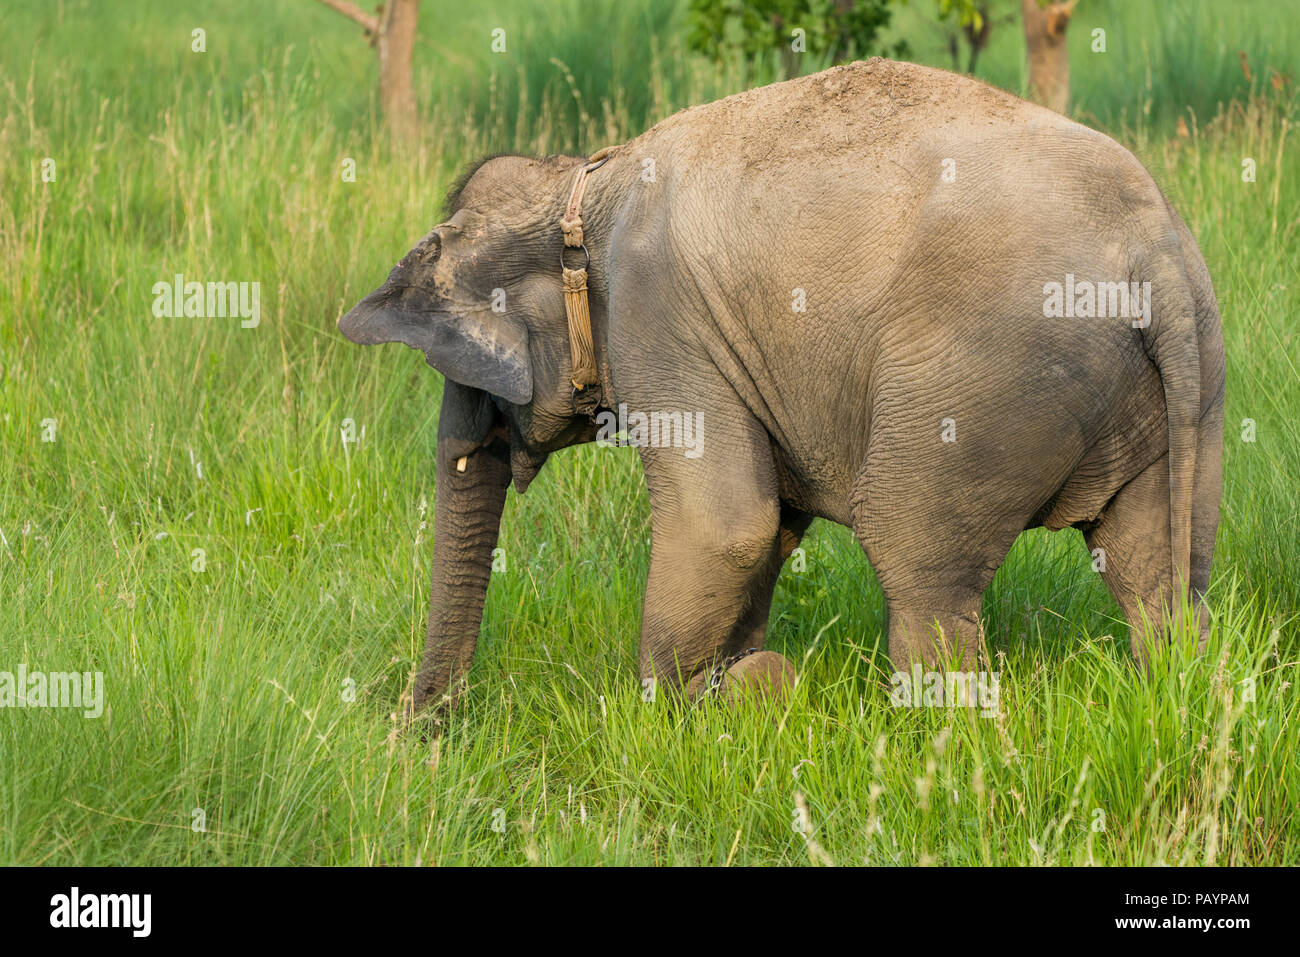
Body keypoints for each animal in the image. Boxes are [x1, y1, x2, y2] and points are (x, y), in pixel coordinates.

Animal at [339, 58, 1225, 715]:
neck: (581, 180)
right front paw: (736, 681)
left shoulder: (657, 317)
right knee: (1155, 574)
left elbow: (724, 526)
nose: (420, 728)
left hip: (977, 383)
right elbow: (769, 528)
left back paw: (934, 749)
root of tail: (1153, 247)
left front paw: (679, 709)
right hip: (1189, 385)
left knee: (918, 564)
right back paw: (1171, 690)